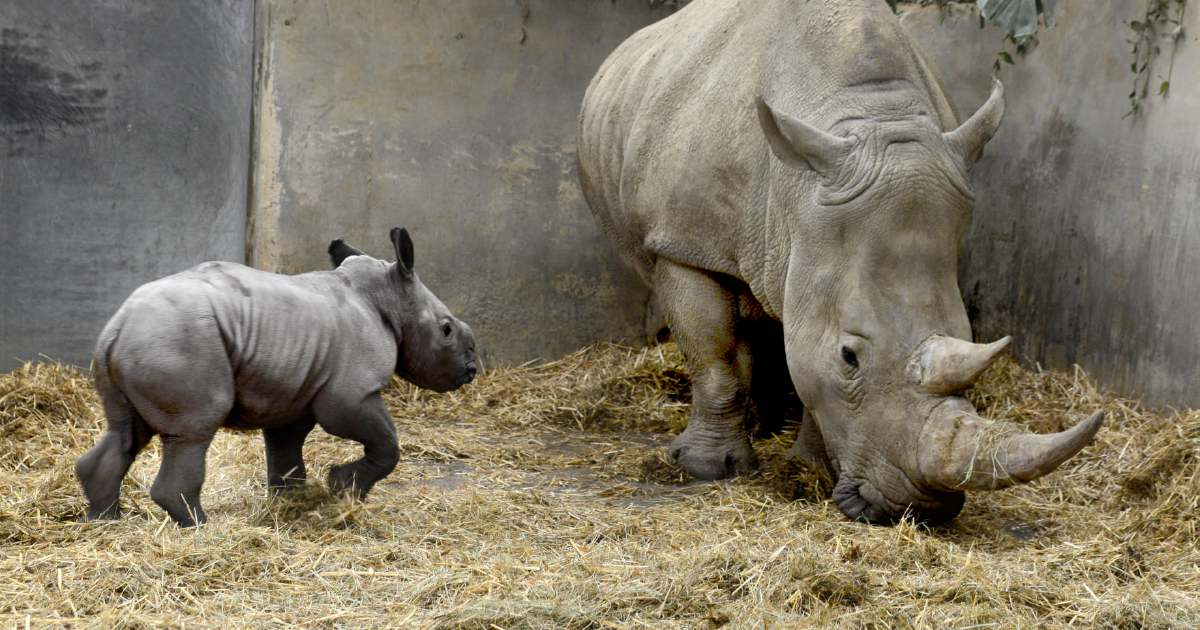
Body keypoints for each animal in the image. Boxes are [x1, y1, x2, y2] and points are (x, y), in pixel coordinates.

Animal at [72, 226, 477, 525]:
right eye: (446, 330)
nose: (471, 370)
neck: (388, 296)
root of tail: (117, 328)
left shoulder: (296, 390)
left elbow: (286, 449)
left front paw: (293, 500)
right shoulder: (352, 393)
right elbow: (387, 444)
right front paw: (343, 489)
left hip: (144, 345)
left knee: (126, 431)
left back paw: (104, 520)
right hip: (178, 343)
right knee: (193, 431)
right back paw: (201, 526)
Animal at [576, 0, 1099, 520]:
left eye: (971, 338)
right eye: (849, 357)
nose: (918, 507)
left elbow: (806, 361)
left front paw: (809, 468)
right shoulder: (684, 242)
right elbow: (714, 353)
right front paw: (708, 468)